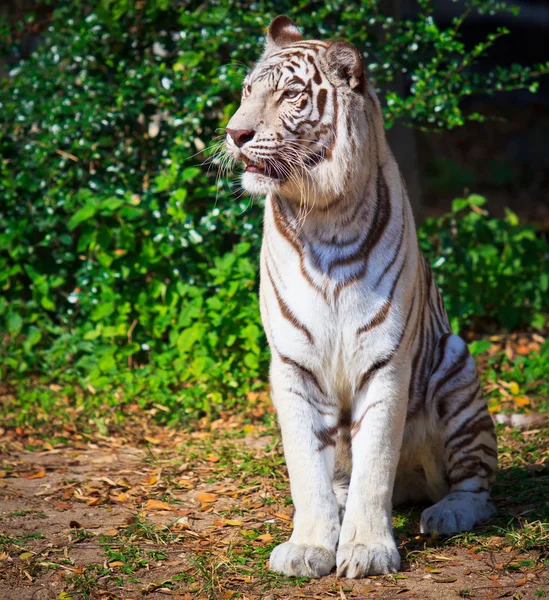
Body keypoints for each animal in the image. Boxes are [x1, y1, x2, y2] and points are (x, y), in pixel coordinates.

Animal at [223, 15, 496, 576]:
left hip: (456, 368)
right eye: (247, 91)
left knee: (477, 484)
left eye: (290, 95)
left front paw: (367, 550)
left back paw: (447, 514)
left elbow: (375, 465)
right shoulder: (293, 364)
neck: (323, 216)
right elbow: (306, 468)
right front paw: (309, 546)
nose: (235, 133)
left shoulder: (385, 360)